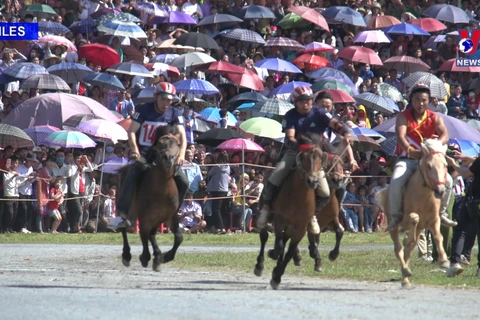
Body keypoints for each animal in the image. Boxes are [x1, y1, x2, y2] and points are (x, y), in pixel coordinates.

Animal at [119, 134, 183, 272]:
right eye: (159, 144)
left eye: (178, 144)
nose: (168, 158)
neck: (163, 190)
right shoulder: (144, 217)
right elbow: (143, 235)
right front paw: (145, 257)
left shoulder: (169, 216)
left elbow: (179, 237)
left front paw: (164, 257)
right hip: (129, 212)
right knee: (124, 228)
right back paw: (126, 255)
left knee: (151, 234)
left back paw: (158, 255)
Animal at [253, 134, 328, 288]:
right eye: (303, 157)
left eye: (320, 158)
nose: (313, 181)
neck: (299, 195)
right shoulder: (279, 220)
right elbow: (279, 246)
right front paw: (273, 256)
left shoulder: (301, 227)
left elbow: (289, 251)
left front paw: (277, 276)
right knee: (264, 236)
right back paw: (260, 265)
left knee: (285, 239)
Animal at [376, 139, 452, 288]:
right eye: (429, 166)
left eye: (445, 165)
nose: (440, 190)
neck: (424, 194)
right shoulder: (407, 218)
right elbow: (414, 218)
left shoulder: (434, 220)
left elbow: (438, 237)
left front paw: (444, 261)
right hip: (393, 226)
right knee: (399, 249)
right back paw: (405, 271)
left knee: (408, 250)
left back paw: (405, 278)